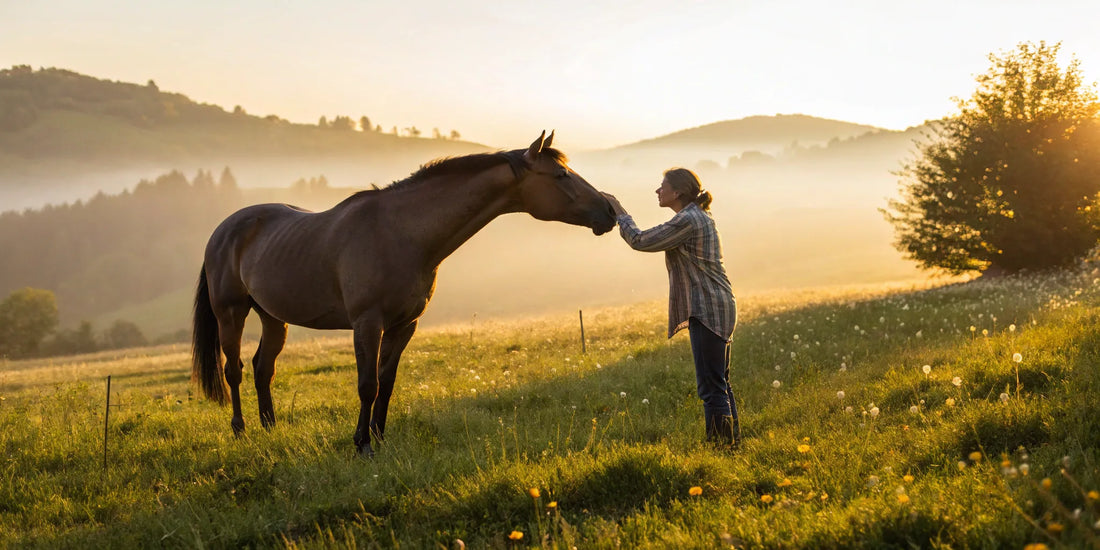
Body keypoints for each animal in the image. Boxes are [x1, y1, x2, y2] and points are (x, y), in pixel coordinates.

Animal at [192, 131, 616, 456]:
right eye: (560, 175)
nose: (609, 211)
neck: (402, 234)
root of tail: (223, 230)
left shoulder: (404, 325)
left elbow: (387, 381)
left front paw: (380, 438)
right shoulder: (368, 323)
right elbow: (368, 384)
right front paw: (362, 444)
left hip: (272, 317)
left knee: (264, 368)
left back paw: (271, 428)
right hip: (231, 313)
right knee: (234, 370)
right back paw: (241, 430)